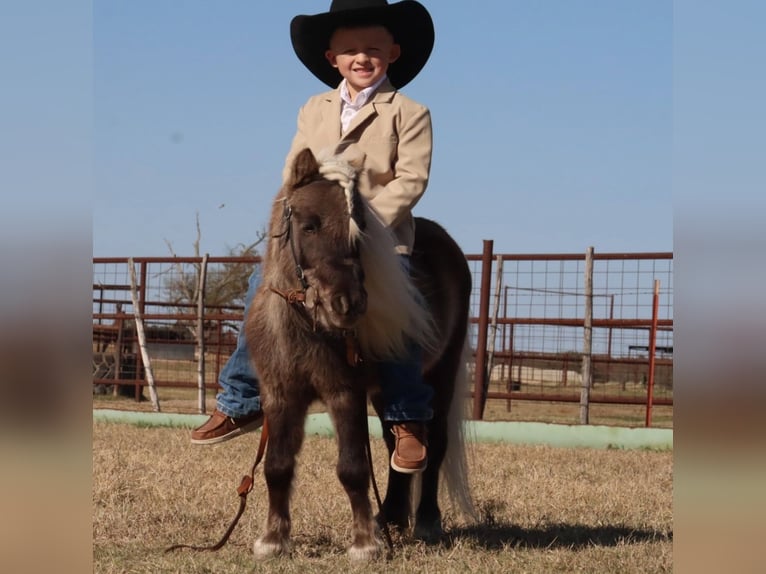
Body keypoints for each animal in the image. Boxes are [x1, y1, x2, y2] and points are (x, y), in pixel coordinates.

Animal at [246, 148, 474, 560]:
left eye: (360, 228)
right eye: (308, 225)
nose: (346, 304)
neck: (306, 326)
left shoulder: (344, 393)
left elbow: (352, 468)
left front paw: (365, 544)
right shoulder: (280, 395)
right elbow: (277, 465)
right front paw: (273, 540)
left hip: (441, 376)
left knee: (434, 444)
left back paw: (426, 522)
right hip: (385, 393)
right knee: (397, 442)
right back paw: (391, 518)